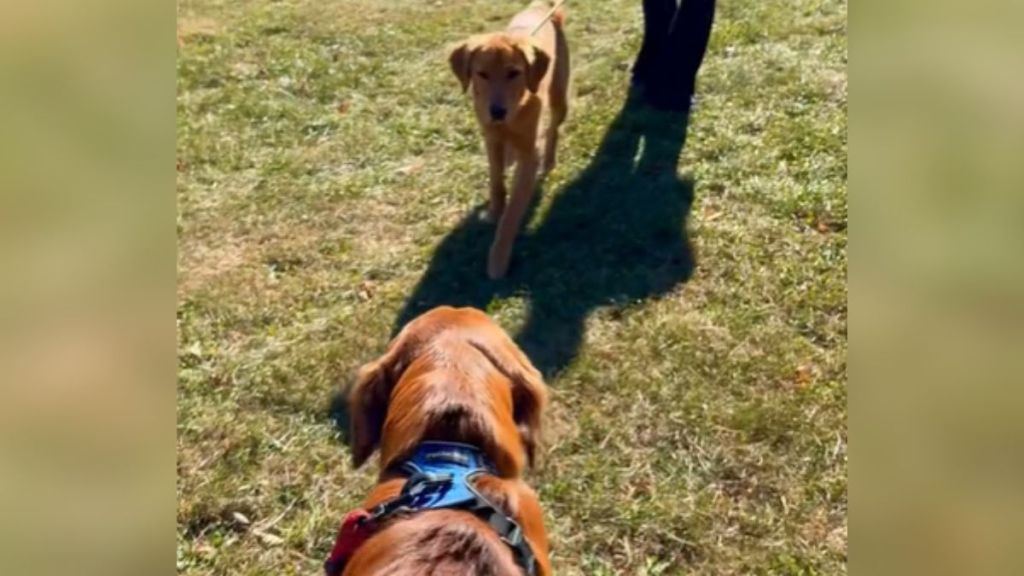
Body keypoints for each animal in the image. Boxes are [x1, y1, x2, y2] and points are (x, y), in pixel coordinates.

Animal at [450, 0, 573, 278]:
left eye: (513, 73)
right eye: (482, 74)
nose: (497, 111)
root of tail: (543, 7)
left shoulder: (529, 156)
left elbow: (512, 214)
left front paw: (498, 258)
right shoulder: (491, 139)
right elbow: (496, 181)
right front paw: (494, 211)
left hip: (559, 98)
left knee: (553, 130)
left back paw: (549, 161)